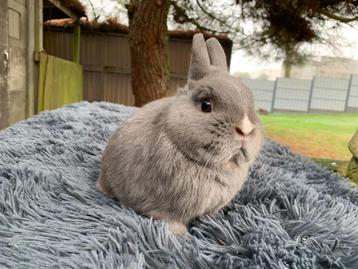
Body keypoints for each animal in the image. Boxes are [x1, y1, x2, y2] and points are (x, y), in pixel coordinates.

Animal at [96, 33, 264, 233]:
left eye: (252, 103)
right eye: (206, 105)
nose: (246, 129)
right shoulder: (167, 209)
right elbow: (171, 220)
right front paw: (181, 236)